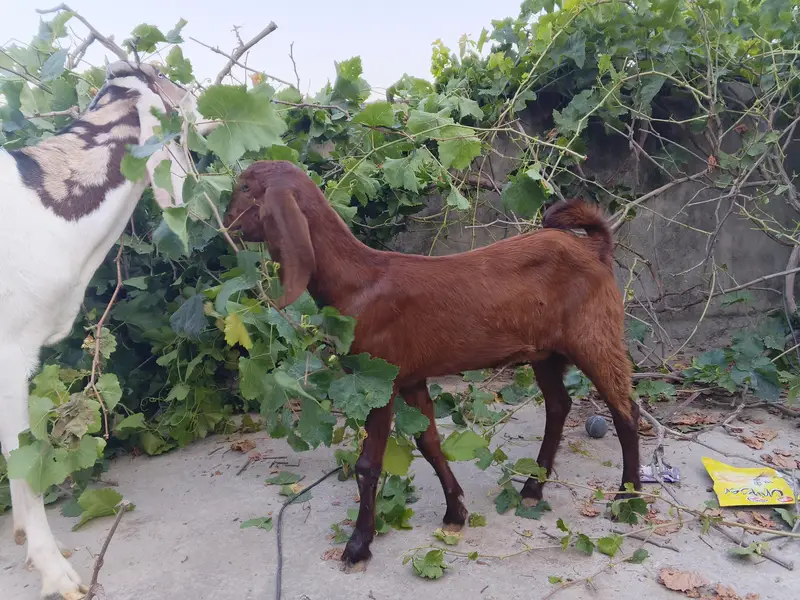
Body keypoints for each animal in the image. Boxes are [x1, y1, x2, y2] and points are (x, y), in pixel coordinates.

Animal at [223, 160, 641, 568]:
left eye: (245, 187)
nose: (228, 222)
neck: (358, 282)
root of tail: (595, 248)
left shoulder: (380, 379)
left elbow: (368, 464)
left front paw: (358, 546)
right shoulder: (410, 377)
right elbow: (429, 443)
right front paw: (455, 512)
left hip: (594, 334)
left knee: (625, 409)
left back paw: (628, 498)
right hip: (545, 352)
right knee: (559, 405)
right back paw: (533, 488)